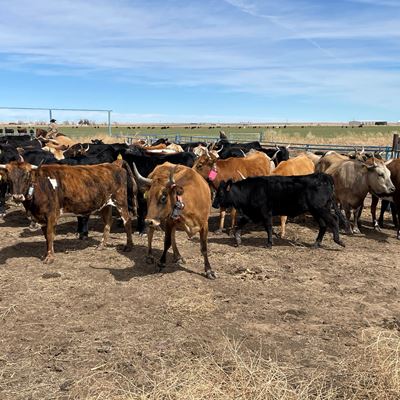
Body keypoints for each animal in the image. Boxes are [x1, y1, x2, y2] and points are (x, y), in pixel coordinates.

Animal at [212, 173, 346, 248]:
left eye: (221, 193)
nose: (213, 204)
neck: (251, 190)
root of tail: (324, 176)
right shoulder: (251, 213)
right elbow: (239, 225)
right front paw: (238, 240)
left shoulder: (265, 213)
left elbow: (268, 228)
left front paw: (269, 243)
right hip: (316, 211)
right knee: (323, 225)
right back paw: (316, 244)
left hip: (320, 209)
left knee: (334, 220)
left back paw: (338, 240)